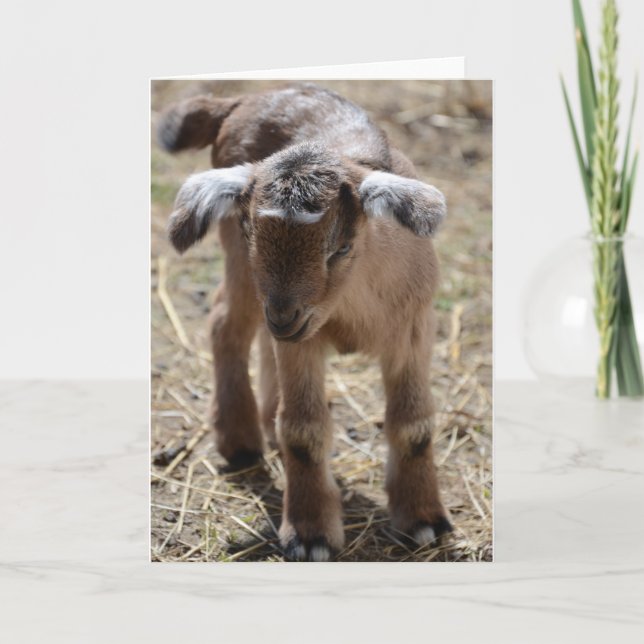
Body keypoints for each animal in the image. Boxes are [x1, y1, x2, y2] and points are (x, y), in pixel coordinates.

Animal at [159, 83, 453, 561]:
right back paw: (240, 441)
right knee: (226, 323)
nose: (284, 316)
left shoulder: (414, 328)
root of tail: (242, 99)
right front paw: (310, 534)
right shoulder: (300, 337)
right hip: (245, 275)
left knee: (256, 337)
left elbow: (414, 426)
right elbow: (302, 430)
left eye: (342, 247)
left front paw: (424, 520)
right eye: (249, 230)